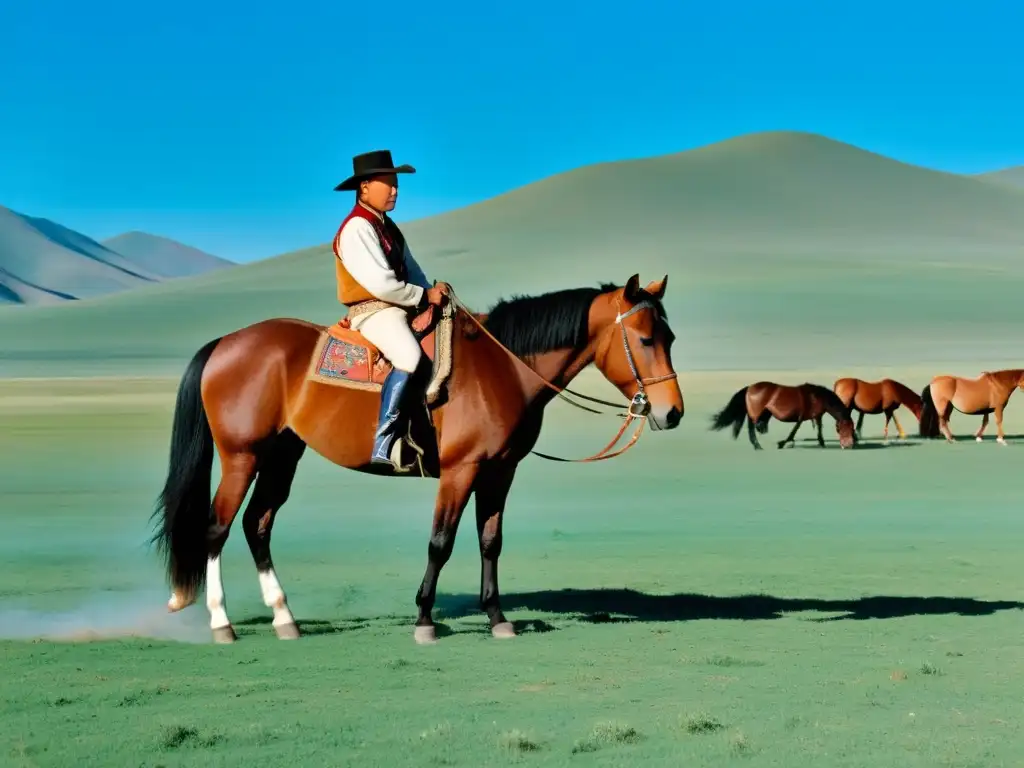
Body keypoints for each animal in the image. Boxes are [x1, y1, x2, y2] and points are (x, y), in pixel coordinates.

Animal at [148, 274, 684, 647]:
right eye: (644, 339)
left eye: (670, 338)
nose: (671, 412)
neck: (505, 368)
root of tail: (225, 343)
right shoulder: (461, 470)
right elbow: (440, 543)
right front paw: (425, 620)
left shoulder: (500, 471)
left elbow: (491, 542)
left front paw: (498, 619)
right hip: (242, 456)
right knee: (216, 529)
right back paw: (222, 623)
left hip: (282, 454)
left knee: (257, 524)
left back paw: (285, 619)